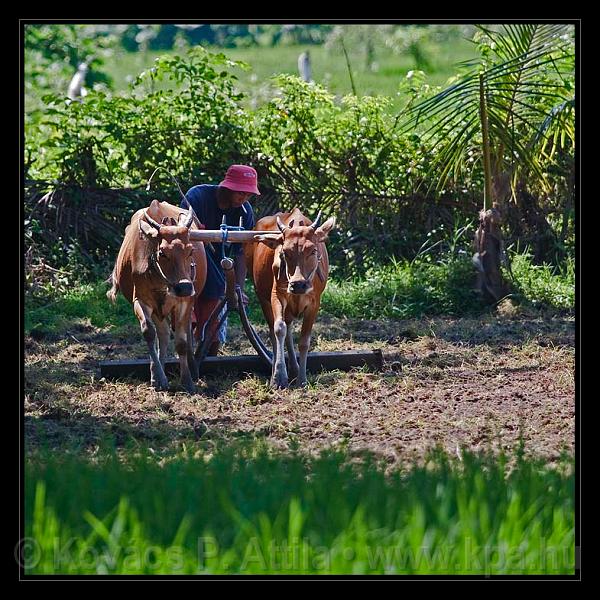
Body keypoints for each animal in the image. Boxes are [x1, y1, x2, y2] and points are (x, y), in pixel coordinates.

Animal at [104, 199, 205, 392]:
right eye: (162, 252)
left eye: (190, 250)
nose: (184, 287)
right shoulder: (141, 300)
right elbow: (149, 333)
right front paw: (159, 377)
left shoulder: (184, 302)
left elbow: (181, 342)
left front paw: (187, 381)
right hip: (159, 309)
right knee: (163, 334)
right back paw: (158, 373)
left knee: (182, 331)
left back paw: (193, 368)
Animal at [245, 207, 338, 390]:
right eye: (284, 252)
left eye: (313, 250)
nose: (298, 284)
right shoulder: (276, 296)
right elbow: (279, 329)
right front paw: (278, 377)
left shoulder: (314, 303)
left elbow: (304, 341)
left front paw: (302, 379)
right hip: (262, 298)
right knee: (275, 333)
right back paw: (276, 369)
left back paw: (294, 369)